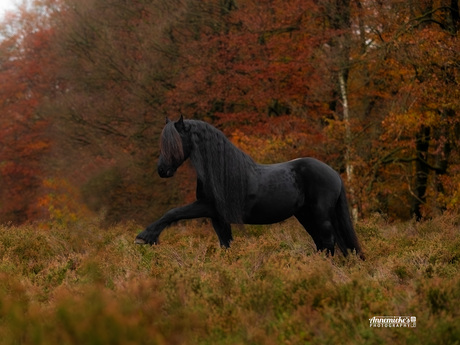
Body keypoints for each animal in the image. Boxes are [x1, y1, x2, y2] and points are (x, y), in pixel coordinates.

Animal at [135, 116, 364, 258]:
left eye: (174, 143)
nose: (162, 170)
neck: (222, 171)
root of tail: (334, 174)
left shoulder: (207, 206)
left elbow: (173, 212)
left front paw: (145, 237)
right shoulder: (217, 218)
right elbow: (226, 244)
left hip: (320, 215)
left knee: (328, 242)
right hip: (306, 216)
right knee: (324, 243)